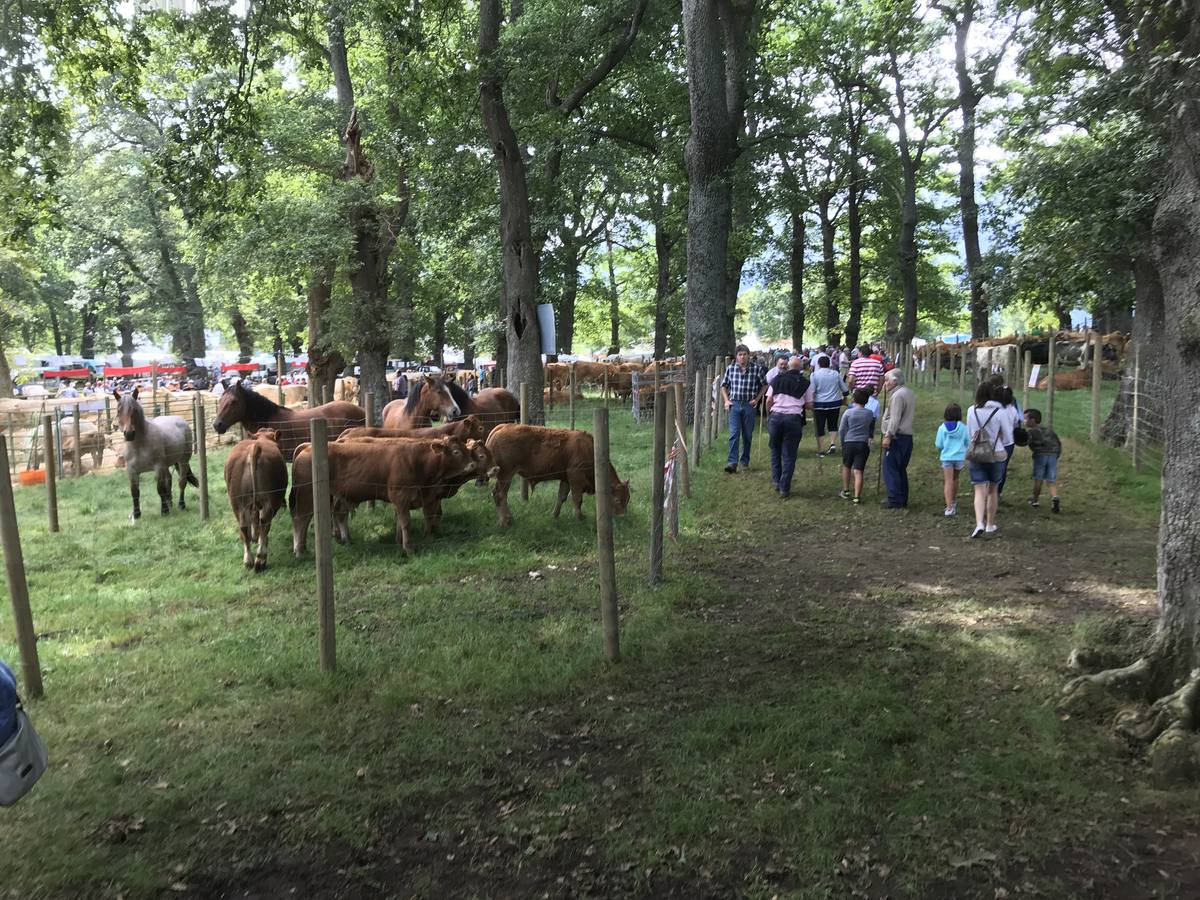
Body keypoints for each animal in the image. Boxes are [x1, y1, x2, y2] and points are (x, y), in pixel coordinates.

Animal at [222, 429, 286, 571]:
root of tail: (254, 447)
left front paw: (254, 536)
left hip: (237, 502)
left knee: (244, 527)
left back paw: (248, 560)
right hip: (268, 501)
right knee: (264, 525)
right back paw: (260, 559)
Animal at [288, 434, 480, 554]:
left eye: (466, 448)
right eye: (456, 451)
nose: (472, 465)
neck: (415, 460)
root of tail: (306, 448)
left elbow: (399, 522)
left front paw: (399, 541)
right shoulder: (400, 496)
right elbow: (406, 523)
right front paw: (408, 548)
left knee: (328, 516)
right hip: (306, 495)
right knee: (301, 519)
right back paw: (299, 549)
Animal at [482, 424, 633, 528]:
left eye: (627, 499)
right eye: (617, 499)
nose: (623, 516)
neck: (589, 450)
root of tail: (502, 427)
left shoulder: (565, 479)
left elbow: (561, 497)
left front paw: (554, 515)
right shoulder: (575, 476)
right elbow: (577, 499)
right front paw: (580, 517)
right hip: (506, 475)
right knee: (499, 495)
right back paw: (506, 522)